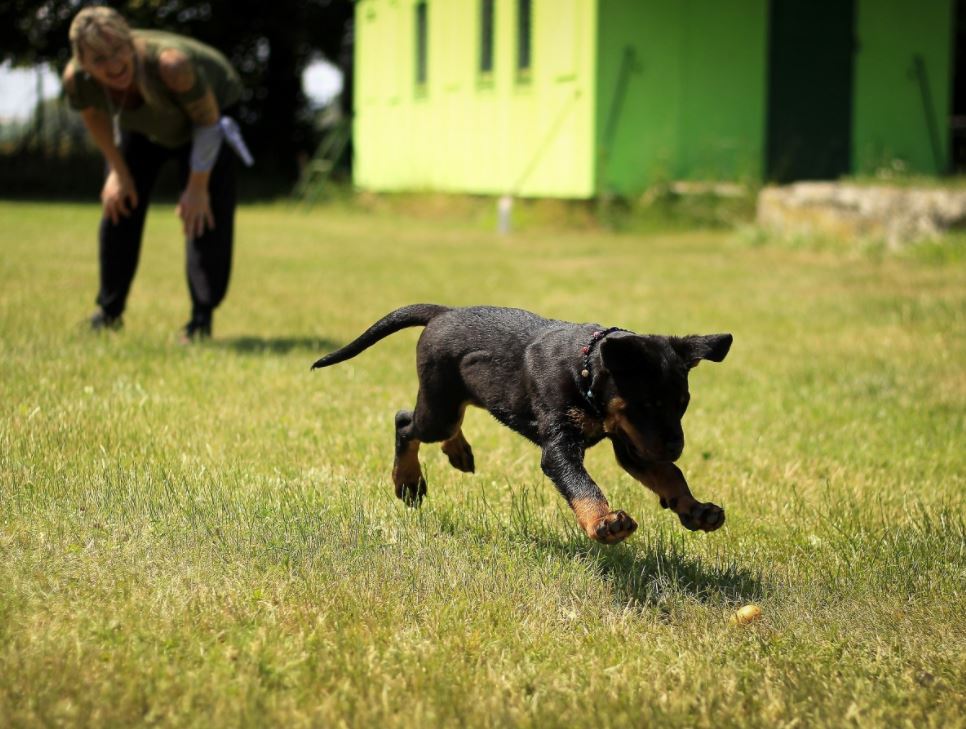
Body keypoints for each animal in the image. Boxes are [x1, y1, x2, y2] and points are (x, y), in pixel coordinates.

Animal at [312, 304, 732, 544]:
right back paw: (409, 482)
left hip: (457, 398)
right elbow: (583, 485)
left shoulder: (633, 444)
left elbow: (670, 475)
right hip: (438, 407)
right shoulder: (561, 446)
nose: (676, 447)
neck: (583, 369)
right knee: (405, 423)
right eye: (646, 404)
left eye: (682, 405)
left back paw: (458, 452)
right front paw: (603, 523)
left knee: (445, 423)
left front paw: (695, 509)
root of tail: (443, 312)